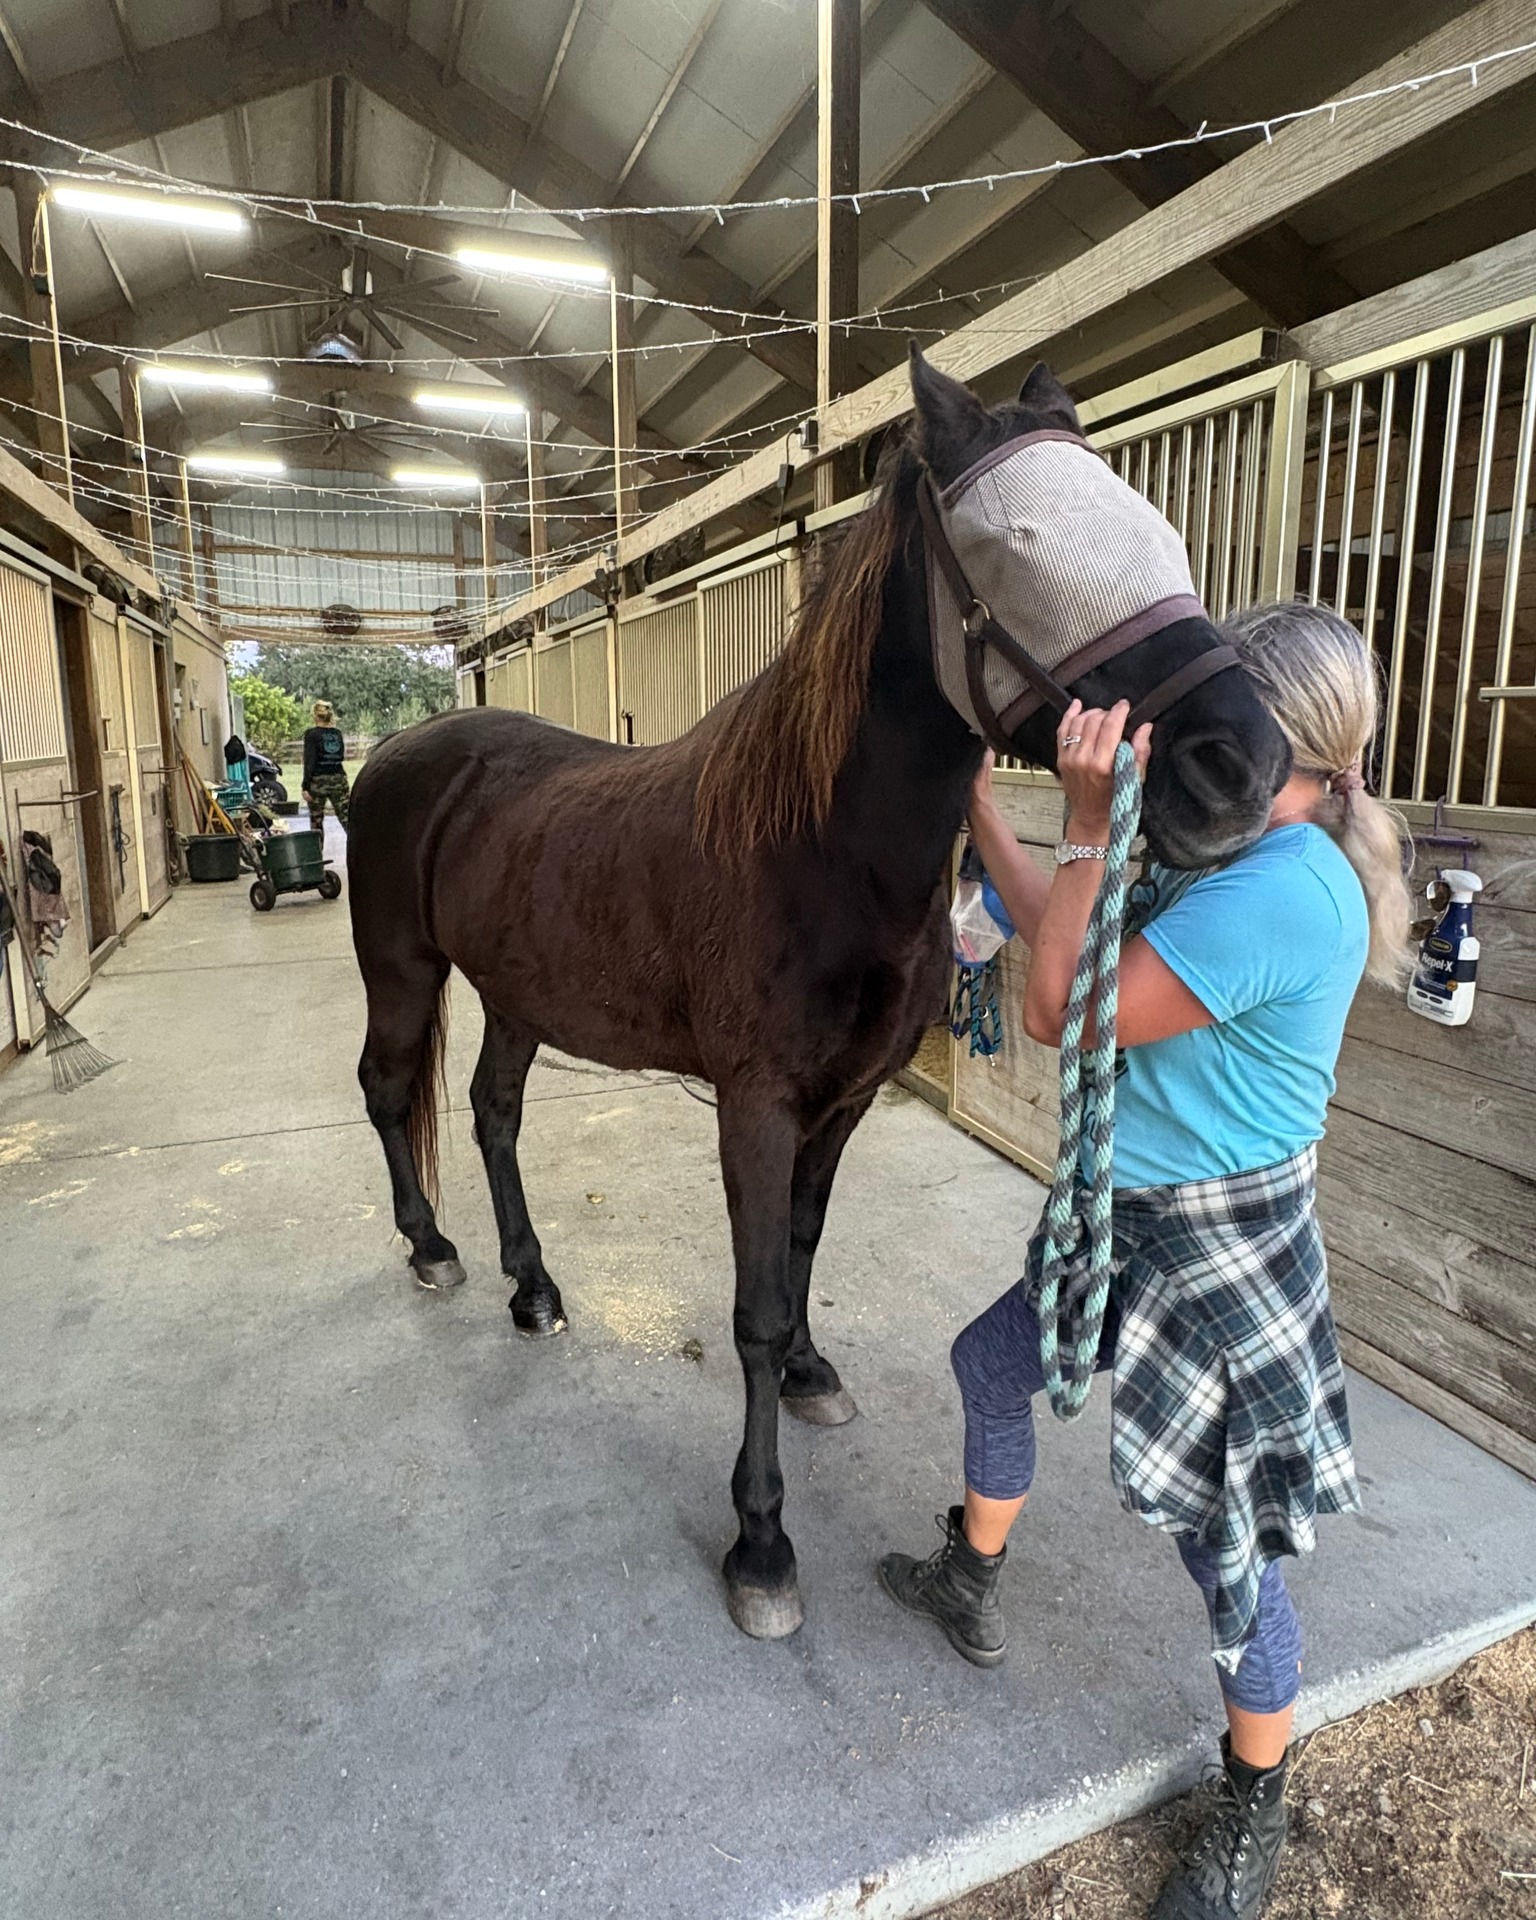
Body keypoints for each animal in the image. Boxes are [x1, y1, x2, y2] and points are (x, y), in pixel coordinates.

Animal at [346, 350, 1292, 1640]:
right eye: (1015, 545)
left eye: (1156, 528)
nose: (1240, 767)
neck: (817, 848)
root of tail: (407, 752)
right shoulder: (755, 1106)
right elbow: (749, 1305)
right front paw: (761, 1543)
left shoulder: (840, 1104)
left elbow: (800, 1250)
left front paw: (808, 1372)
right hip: (402, 972)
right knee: (391, 1090)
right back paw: (432, 1248)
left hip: (517, 999)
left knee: (493, 1113)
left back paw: (532, 1288)